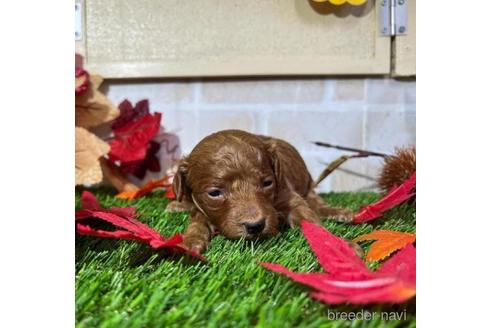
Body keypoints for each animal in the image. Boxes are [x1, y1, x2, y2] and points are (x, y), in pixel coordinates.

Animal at [167, 129, 352, 252]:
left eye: (267, 183)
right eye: (214, 193)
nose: (255, 226)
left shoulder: (287, 194)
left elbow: (309, 219)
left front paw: (338, 245)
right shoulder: (201, 208)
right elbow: (197, 221)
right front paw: (191, 241)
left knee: (316, 202)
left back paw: (338, 212)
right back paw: (177, 205)